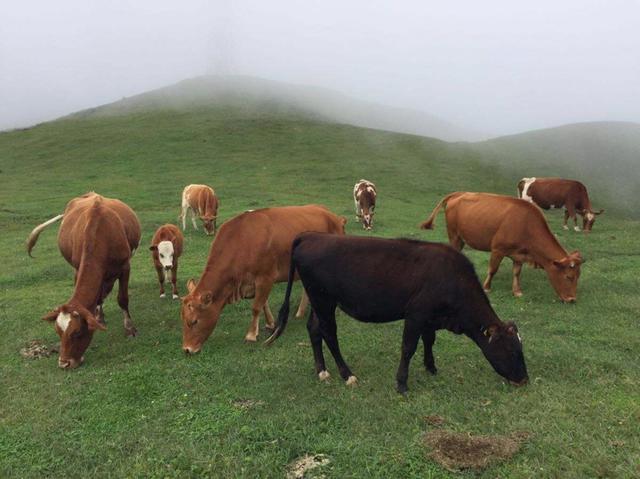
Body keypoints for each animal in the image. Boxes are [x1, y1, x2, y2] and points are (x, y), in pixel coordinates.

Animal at [26, 193, 141, 370]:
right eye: (58, 332)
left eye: (77, 332)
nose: (64, 363)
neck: (101, 234)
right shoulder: (78, 268)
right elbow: (97, 298)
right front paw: (98, 317)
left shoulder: (125, 267)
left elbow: (122, 299)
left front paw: (130, 329)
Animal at [180, 204, 348, 354]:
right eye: (183, 318)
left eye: (194, 321)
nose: (187, 349)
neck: (242, 240)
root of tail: (333, 216)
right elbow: (263, 304)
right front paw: (269, 324)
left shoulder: (265, 277)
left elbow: (256, 307)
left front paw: (251, 335)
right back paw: (300, 312)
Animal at [262, 232, 528, 394]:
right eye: (511, 350)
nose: (524, 379)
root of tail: (311, 235)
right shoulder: (416, 314)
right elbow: (408, 347)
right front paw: (402, 383)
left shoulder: (430, 318)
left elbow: (429, 341)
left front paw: (431, 367)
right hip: (323, 300)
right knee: (329, 333)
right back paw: (347, 374)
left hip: (322, 302)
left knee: (314, 329)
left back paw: (322, 371)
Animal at [420, 192, 584, 302]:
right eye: (568, 277)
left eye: (578, 276)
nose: (572, 299)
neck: (526, 225)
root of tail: (459, 193)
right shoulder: (498, 249)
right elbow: (493, 269)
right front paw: (486, 287)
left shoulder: (520, 254)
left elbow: (517, 272)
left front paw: (517, 291)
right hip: (454, 235)